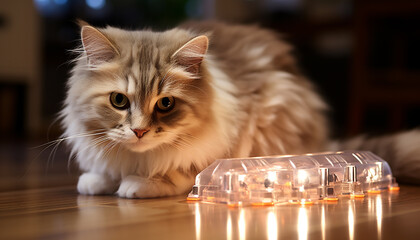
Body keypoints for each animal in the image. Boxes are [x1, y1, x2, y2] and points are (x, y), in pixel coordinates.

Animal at [61, 20, 420, 198]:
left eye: (165, 104)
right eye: (119, 101)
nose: (139, 131)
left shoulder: (225, 141)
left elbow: (180, 171)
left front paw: (135, 185)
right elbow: (102, 172)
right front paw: (99, 181)